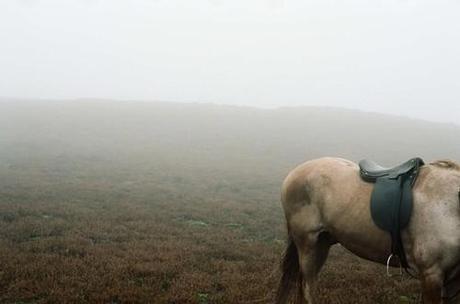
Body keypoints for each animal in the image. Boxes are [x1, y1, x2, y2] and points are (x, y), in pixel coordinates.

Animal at [274, 158, 460, 302]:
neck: (451, 206)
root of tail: (294, 173)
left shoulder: (451, 281)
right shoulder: (431, 275)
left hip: (322, 244)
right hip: (308, 245)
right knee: (308, 288)